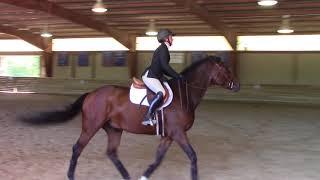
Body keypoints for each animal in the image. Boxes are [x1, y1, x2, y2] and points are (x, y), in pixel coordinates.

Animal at [23, 55, 239, 179]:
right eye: (225, 69)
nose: (237, 85)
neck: (182, 95)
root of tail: (91, 93)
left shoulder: (169, 135)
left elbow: (158, 159)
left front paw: (145, 175)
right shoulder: (178, 133)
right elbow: (193, 156)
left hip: (114, 129)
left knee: (111, 153)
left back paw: (126, 176)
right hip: (91, 126)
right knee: (78, 148)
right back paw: (70, 175)